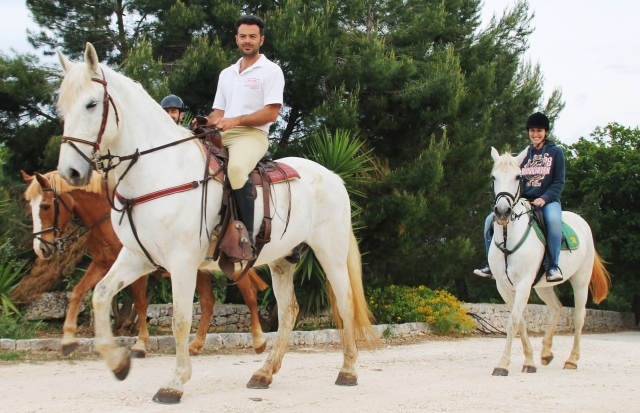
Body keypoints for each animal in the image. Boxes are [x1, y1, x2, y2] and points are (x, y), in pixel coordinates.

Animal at [22, 169, 269, 357]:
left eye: (45, 206)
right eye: (29, 206)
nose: (41, 249)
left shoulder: (139, 270)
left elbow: (140, 303)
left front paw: (140, 344)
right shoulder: (102, 265)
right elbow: (78, 292)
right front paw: (68, 340)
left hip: (233, 268)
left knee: (249, 295)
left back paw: (258, 341)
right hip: (199, 271)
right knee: (208, 302)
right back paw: (196, 345)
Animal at [54, 42, 376, 404]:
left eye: (91, 103)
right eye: (62, 108)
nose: (71, 172)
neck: (160, 172)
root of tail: (333, 175)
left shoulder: (181, 262)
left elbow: (181, 320)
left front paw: (174, 383)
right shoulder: (137, 257)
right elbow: (100, 295)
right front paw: (117, 362)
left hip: (329, 252)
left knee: (345, 303)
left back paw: (348, 370)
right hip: (282, 259)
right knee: (289, 311)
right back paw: (264, 373)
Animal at [487, 147, 610, 376]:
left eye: (518, 177)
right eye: (493, 177)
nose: (502, 212)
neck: (509, 238)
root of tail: (582, 222)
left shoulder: (524, 284)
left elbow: (513, 322)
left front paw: (502, 364)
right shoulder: (504, 287)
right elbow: (521, 323)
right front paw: (529, 362)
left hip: (581, 281)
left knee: (579, 316)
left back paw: (572, 360)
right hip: (543, 287)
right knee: (556, 308)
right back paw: (545, 353)